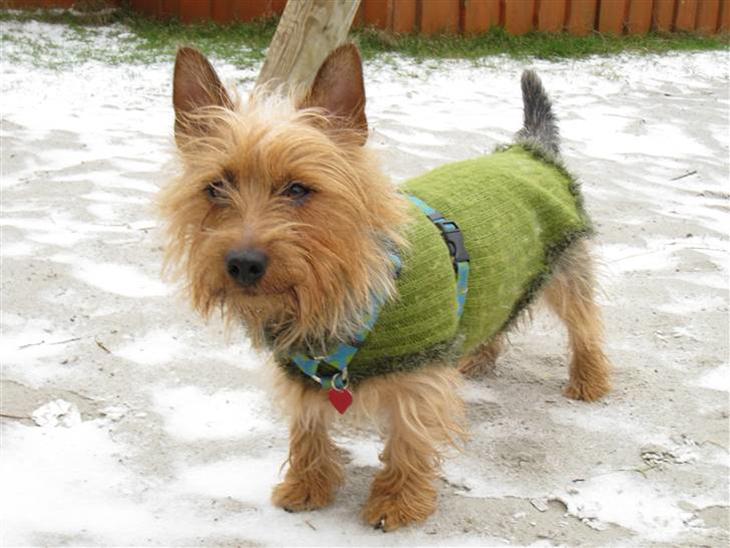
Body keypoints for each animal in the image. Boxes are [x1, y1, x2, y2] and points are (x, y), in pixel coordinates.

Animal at [159, 44, 612, 531]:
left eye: (299, 189)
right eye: (215, 188)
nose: (243, 263)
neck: (338, 292)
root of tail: (531, 147)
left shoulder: (417, 379)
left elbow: (408, 439)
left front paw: (397, 502)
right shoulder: (299, 373)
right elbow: (307, 428)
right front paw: (308, 484)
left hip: (567, 267)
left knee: (585, 324)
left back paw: (589, 380)